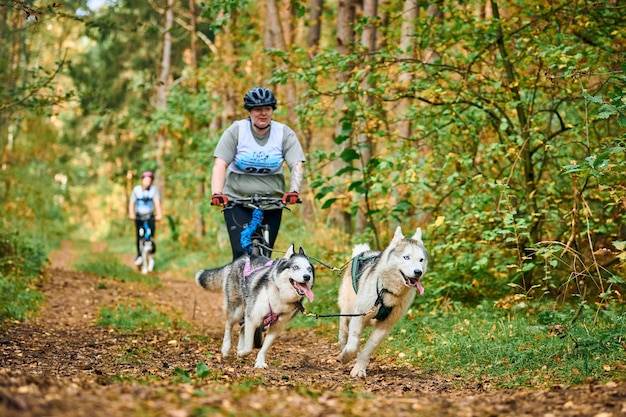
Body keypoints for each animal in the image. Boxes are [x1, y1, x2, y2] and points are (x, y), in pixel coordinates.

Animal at [336, 228, 428, 376]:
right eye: (406, 257)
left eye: (421, 260)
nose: (418, 272)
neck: (388, 291)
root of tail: (364, 252)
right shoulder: (360, 315)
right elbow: (353, 344)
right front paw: (345, 356)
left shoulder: (385, 325)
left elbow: (368, 349)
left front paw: (359, 368)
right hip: (349, 308)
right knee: (344, 325)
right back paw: (342, 343)